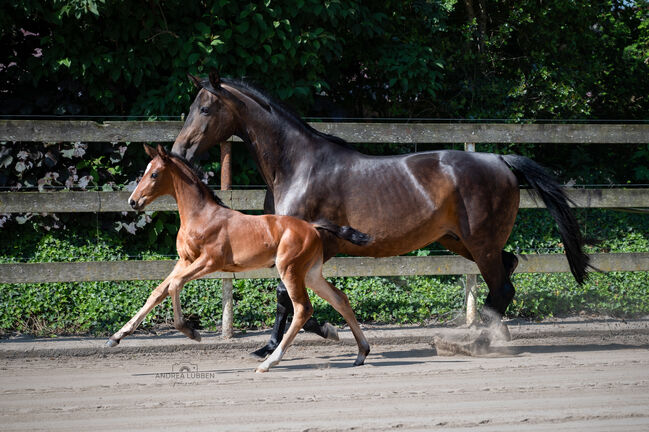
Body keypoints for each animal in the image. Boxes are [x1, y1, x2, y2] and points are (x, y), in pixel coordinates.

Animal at [107, 144, 370, 372]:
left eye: (154, 174)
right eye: (145, 171)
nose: (133, 201)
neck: (201, 216)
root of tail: (312, 227)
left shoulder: (210, 261)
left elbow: (174, 285)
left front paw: (192, 332)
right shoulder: (185, 260)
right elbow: (157, 292)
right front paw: (116, 337)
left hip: (290, 270)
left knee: (303, 309)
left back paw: (269, 362)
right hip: (311, 273)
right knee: (340, 299)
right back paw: (361, 353)